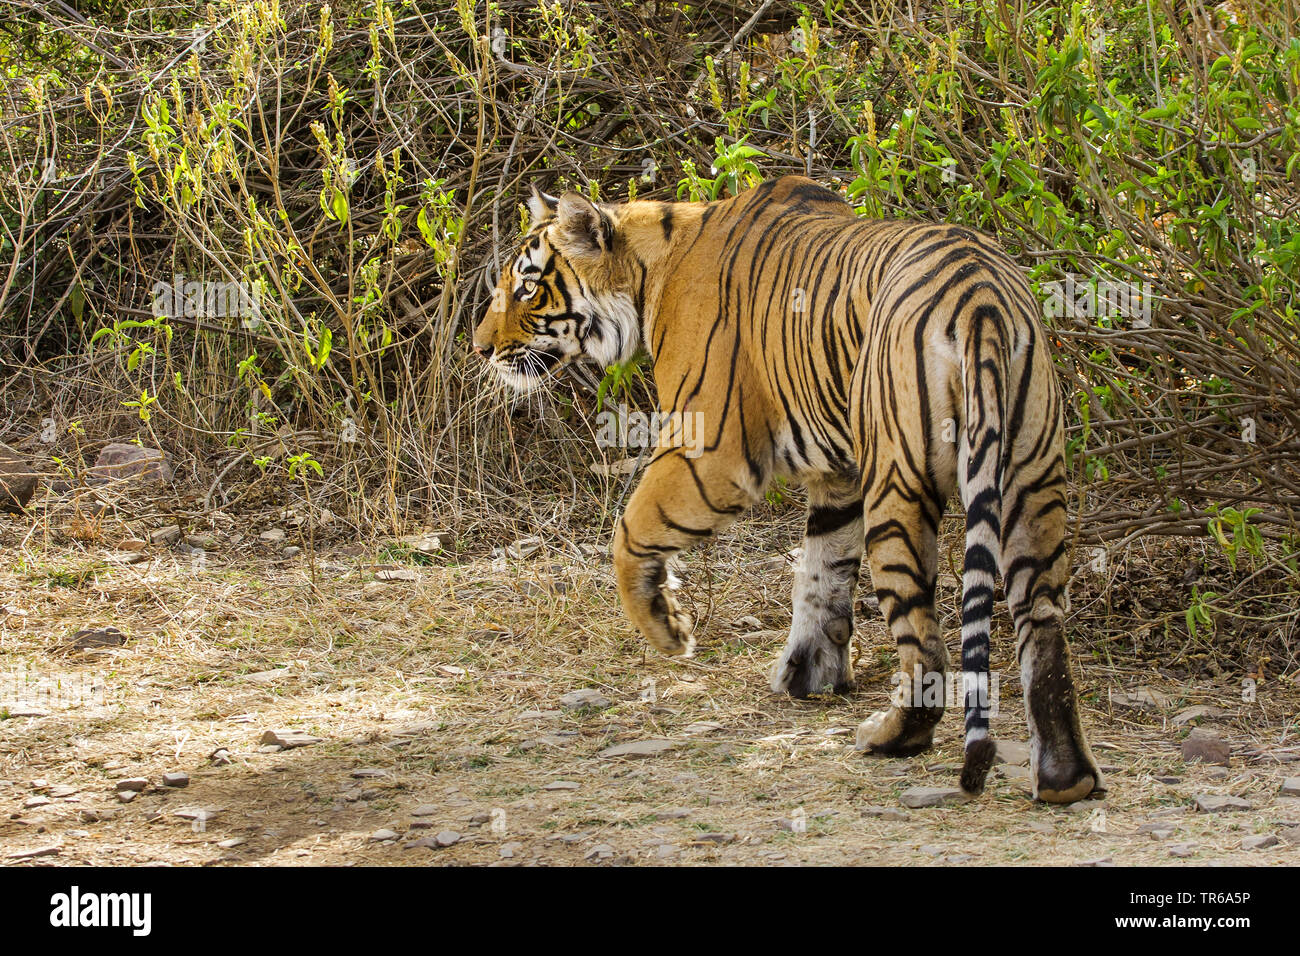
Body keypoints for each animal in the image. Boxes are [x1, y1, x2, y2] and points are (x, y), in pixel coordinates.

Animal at [473, 175, 1102, 806]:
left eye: (528, 287)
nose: (480, 349)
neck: (650, 270)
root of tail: (982, 301)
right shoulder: (839, 474)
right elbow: (822, 575)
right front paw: (810, 673)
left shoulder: (712, 450)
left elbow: (631, 531)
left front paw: (668, 630)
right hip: (1030, 475)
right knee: (1042, 621)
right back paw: (1065, 779)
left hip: (899, 485)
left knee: (924, 638)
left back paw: (891, 736)